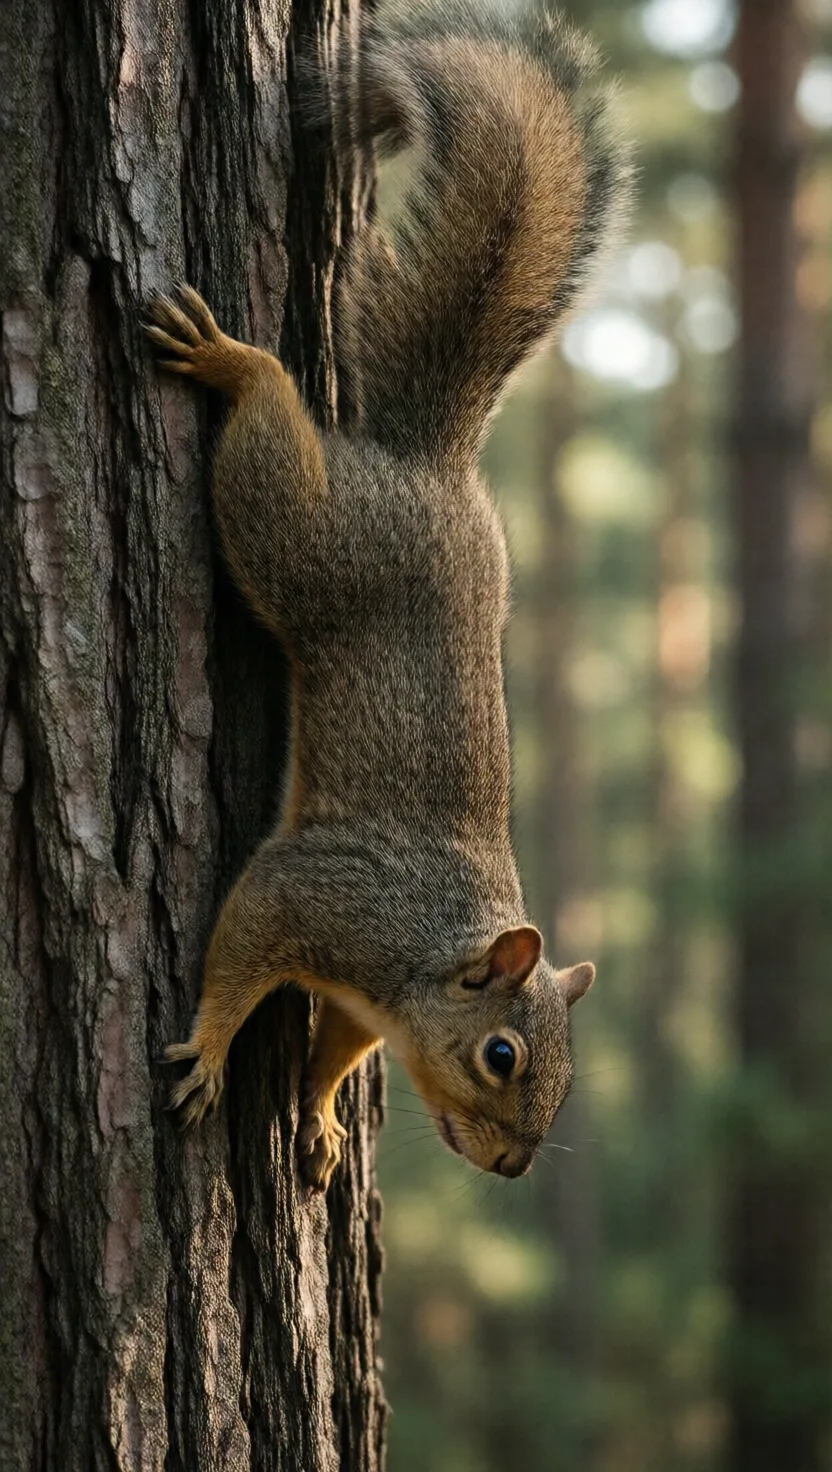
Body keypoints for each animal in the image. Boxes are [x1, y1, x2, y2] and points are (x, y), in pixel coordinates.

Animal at [145, 0, 628, 1191]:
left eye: (563, 1075)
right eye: (502, 1054)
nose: (512, 1169)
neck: (421, 955)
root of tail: (429, 464)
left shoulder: (364, 1002)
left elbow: (334, 1048)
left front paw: (317, 1113)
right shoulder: (319, 895)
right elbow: (239, 950)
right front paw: (209, 1051)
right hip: (310, 545)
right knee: (270, 430)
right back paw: (231, 359)